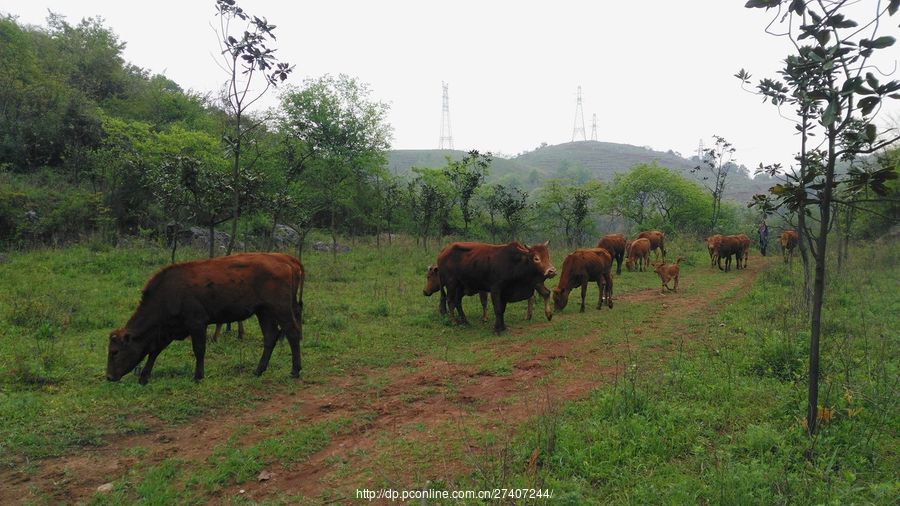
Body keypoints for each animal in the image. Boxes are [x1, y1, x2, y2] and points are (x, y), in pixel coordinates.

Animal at [107, 253, 304, 384]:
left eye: (115, 351)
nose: (109, 376)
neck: (169, 292)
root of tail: (286, 259)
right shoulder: (170, 329)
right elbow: (154, 350)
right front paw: (144, 377)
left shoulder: (196, 324)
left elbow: (199, 350)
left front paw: (198, 376)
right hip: (263, 312)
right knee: (270, 336)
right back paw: (258, 370)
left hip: (281, 310)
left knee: (293, 333)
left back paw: (295, 371)